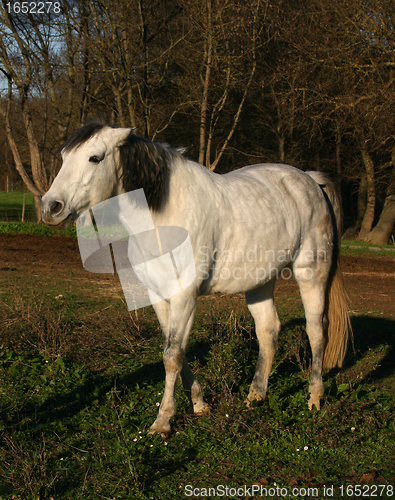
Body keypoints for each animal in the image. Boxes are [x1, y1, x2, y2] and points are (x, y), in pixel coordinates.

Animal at [41, 121, 352, 438]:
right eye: (64, 156)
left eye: (95, 158)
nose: (50, 207)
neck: (164, 214)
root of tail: (310, 180)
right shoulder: (160, 295)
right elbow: (175, 350)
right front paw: (200, 404)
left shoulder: (184, 294)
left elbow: (172, 356)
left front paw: (163, 421)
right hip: (260, 281)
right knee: (268, 331)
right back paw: (255, 396)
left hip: (311, 272)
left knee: (316, 330)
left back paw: (314, 398)